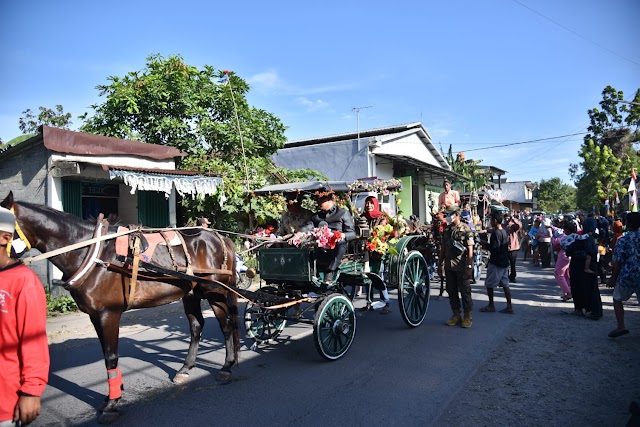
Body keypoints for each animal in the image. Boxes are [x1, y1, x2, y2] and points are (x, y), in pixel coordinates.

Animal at [0, 193, 240, 424]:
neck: (89, 252)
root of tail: (219, 237)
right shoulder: (95, 316)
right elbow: (107, 354)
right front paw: (113, 393)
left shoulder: (109, 314)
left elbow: (111, 356)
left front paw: (112, 403)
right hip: (190, 293)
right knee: (197, 326)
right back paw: (185, 368)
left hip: (215, 291)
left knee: (226, 325)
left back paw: (226, 367)